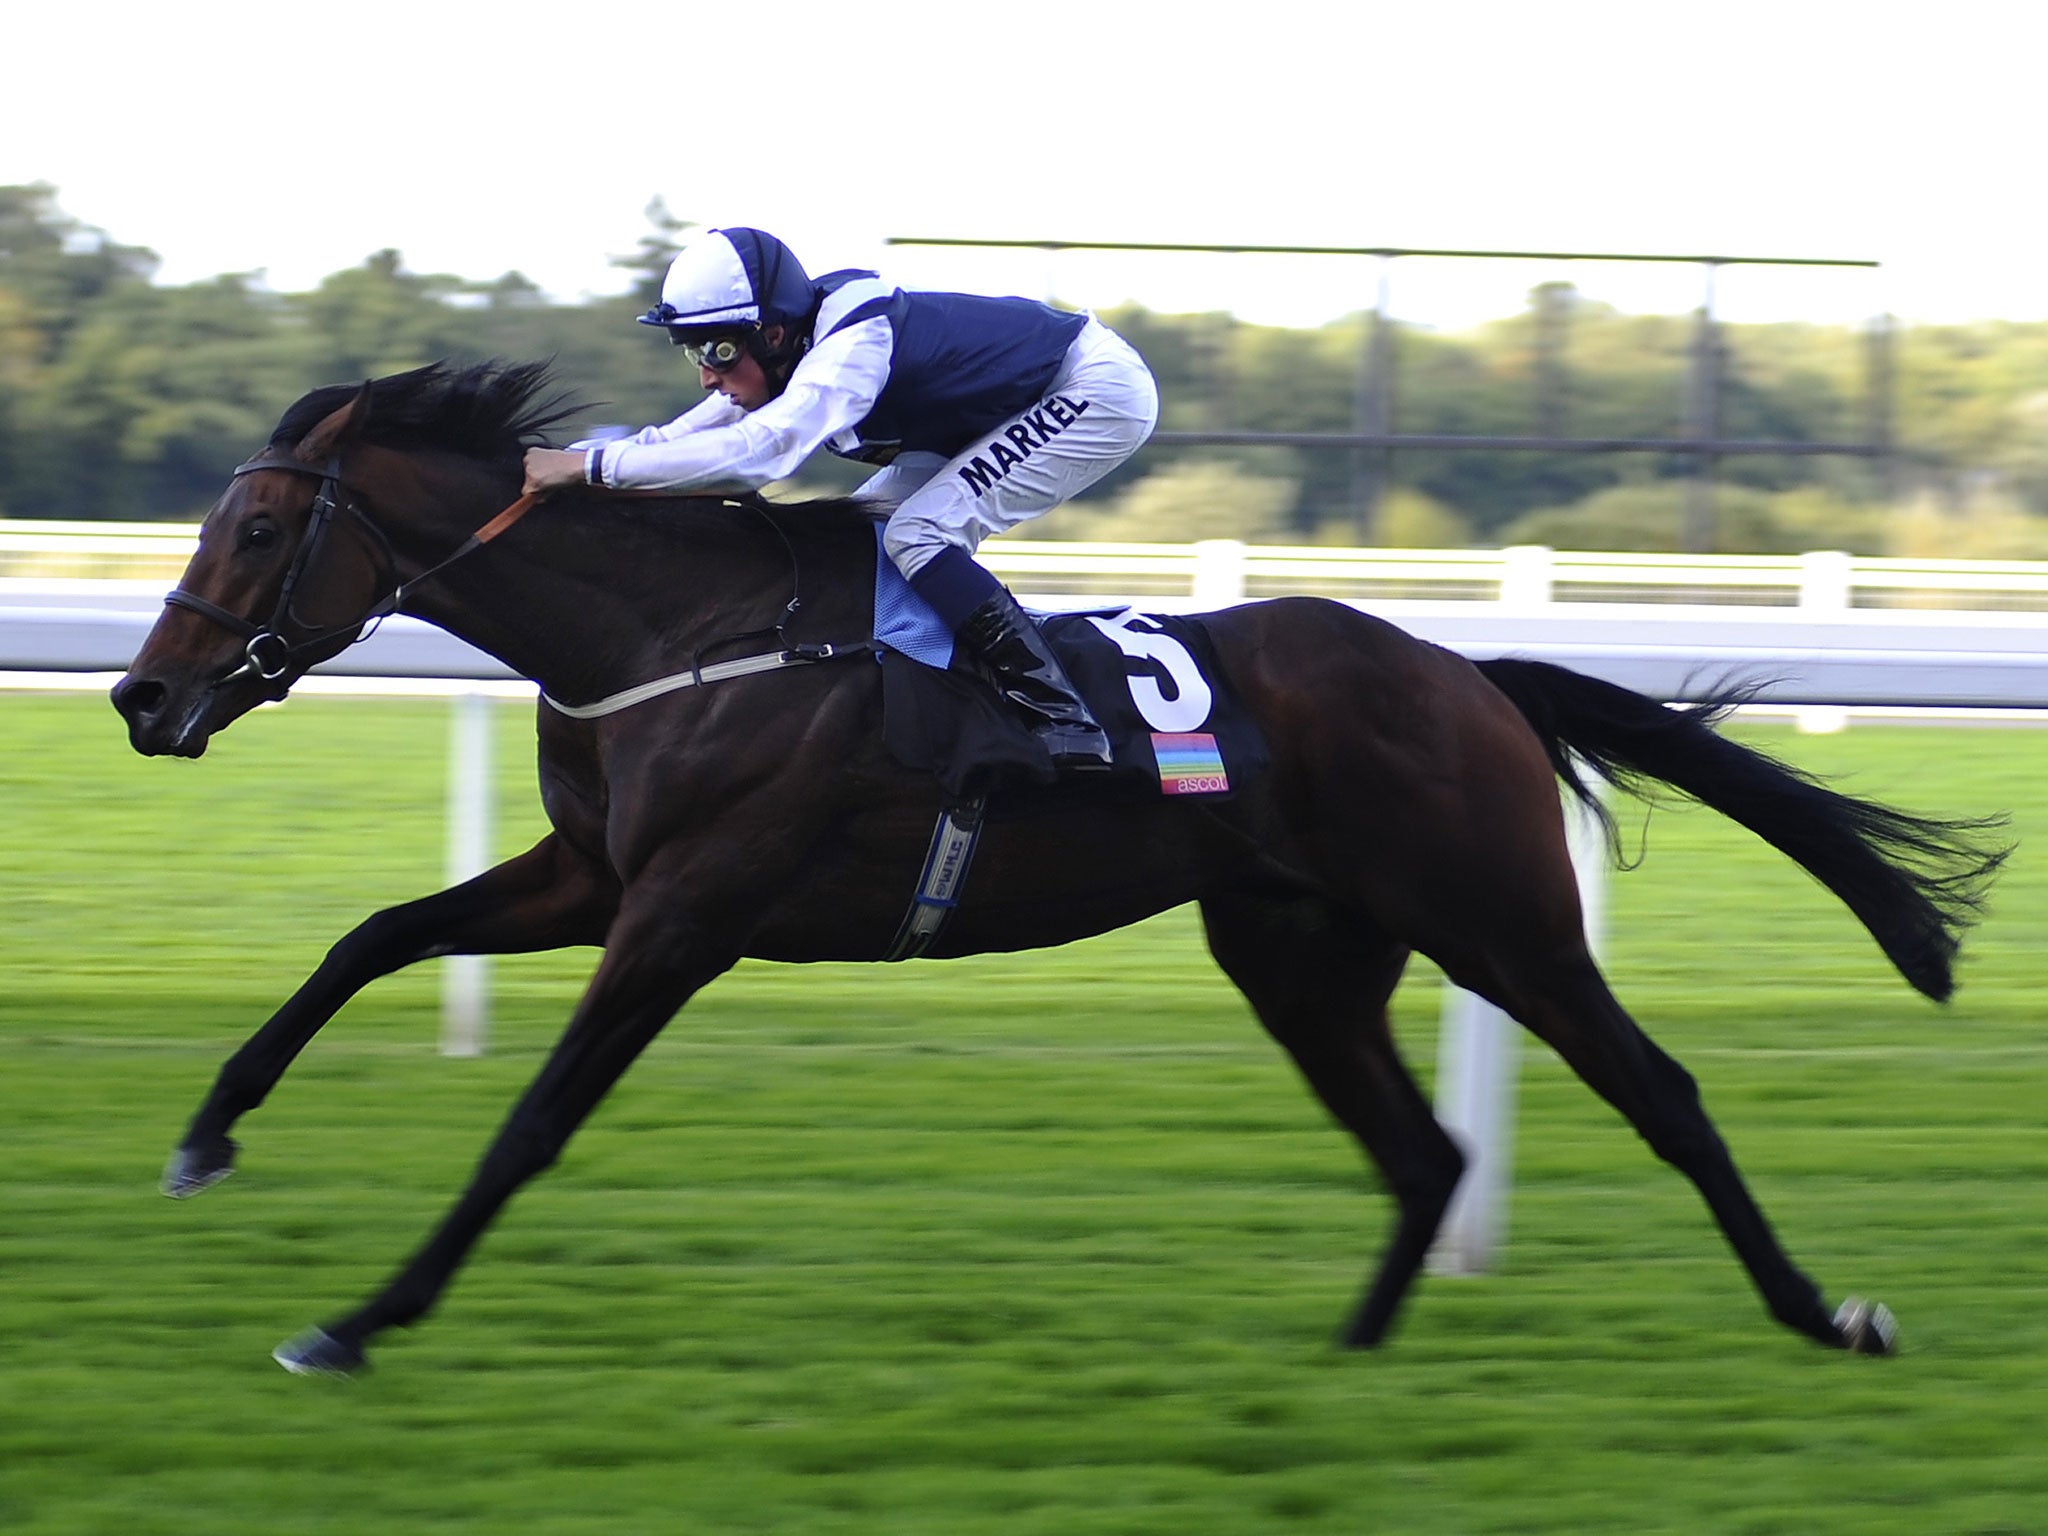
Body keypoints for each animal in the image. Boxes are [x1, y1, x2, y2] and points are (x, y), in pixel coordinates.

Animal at [108, 364, 1998, 1384]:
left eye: (261, 528)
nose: (142, 697)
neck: (676, 631)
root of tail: (1467, 672)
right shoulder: (592, 876)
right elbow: (370, 935)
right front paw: (204, 1136)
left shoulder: (687, 912)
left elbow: (531, 1122)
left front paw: (358, 1320)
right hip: (1298, 952)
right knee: (1424, 1147)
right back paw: (1347, 1361)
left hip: (1498, 920)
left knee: (1658, 1091)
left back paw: (1825, 1314)